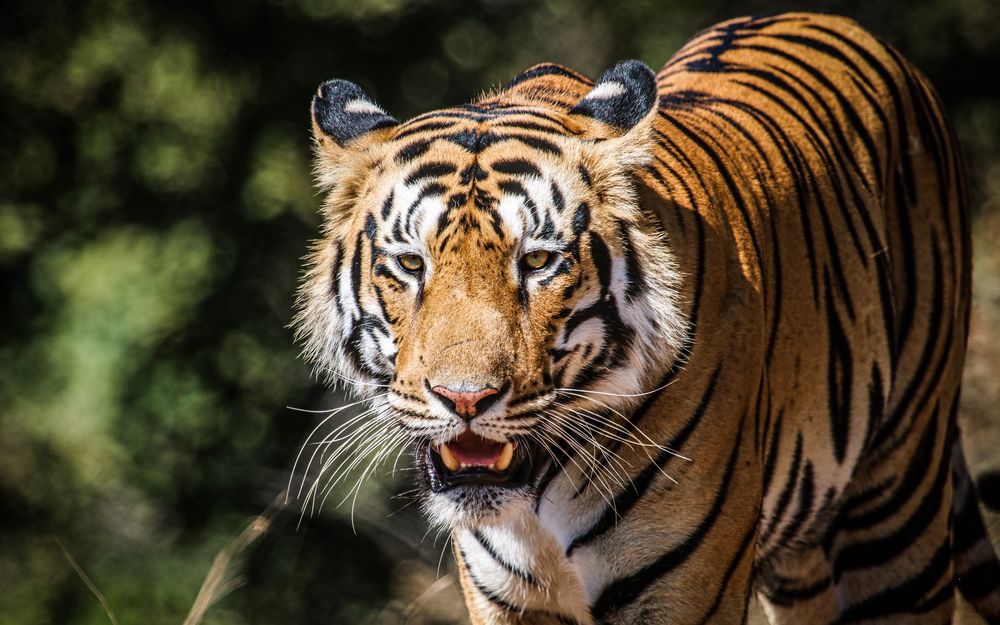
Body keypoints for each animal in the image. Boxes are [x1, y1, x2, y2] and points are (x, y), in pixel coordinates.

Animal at [293, 12, 1000, 625]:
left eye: (538, 261)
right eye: (411, 264)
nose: (465, 400)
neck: (537, 494)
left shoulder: (686, 590)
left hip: (898, 507)